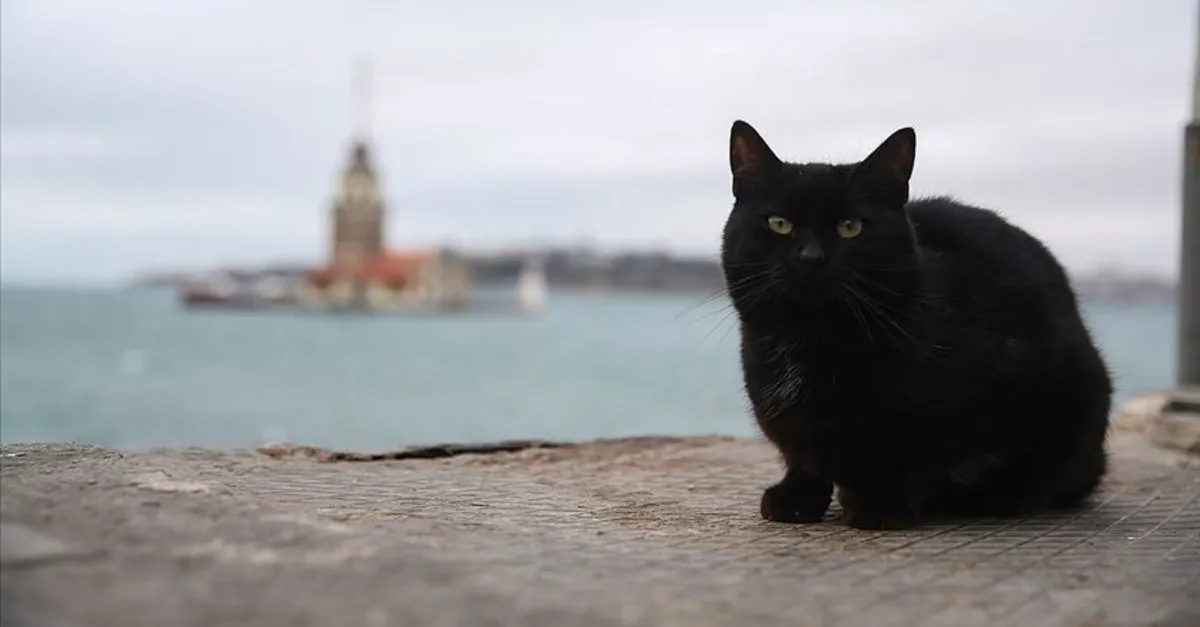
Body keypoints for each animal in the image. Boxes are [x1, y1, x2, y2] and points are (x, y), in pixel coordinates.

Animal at [715, 120, 1108, 526]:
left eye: (850, 227)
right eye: (780, 224)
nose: (811, 257)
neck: (812, 336)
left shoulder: (990, 381)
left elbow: (918, 455)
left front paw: (880, 503)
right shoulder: (788, 414)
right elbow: (804, 455)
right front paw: (797, 498)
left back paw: (1005, 495)